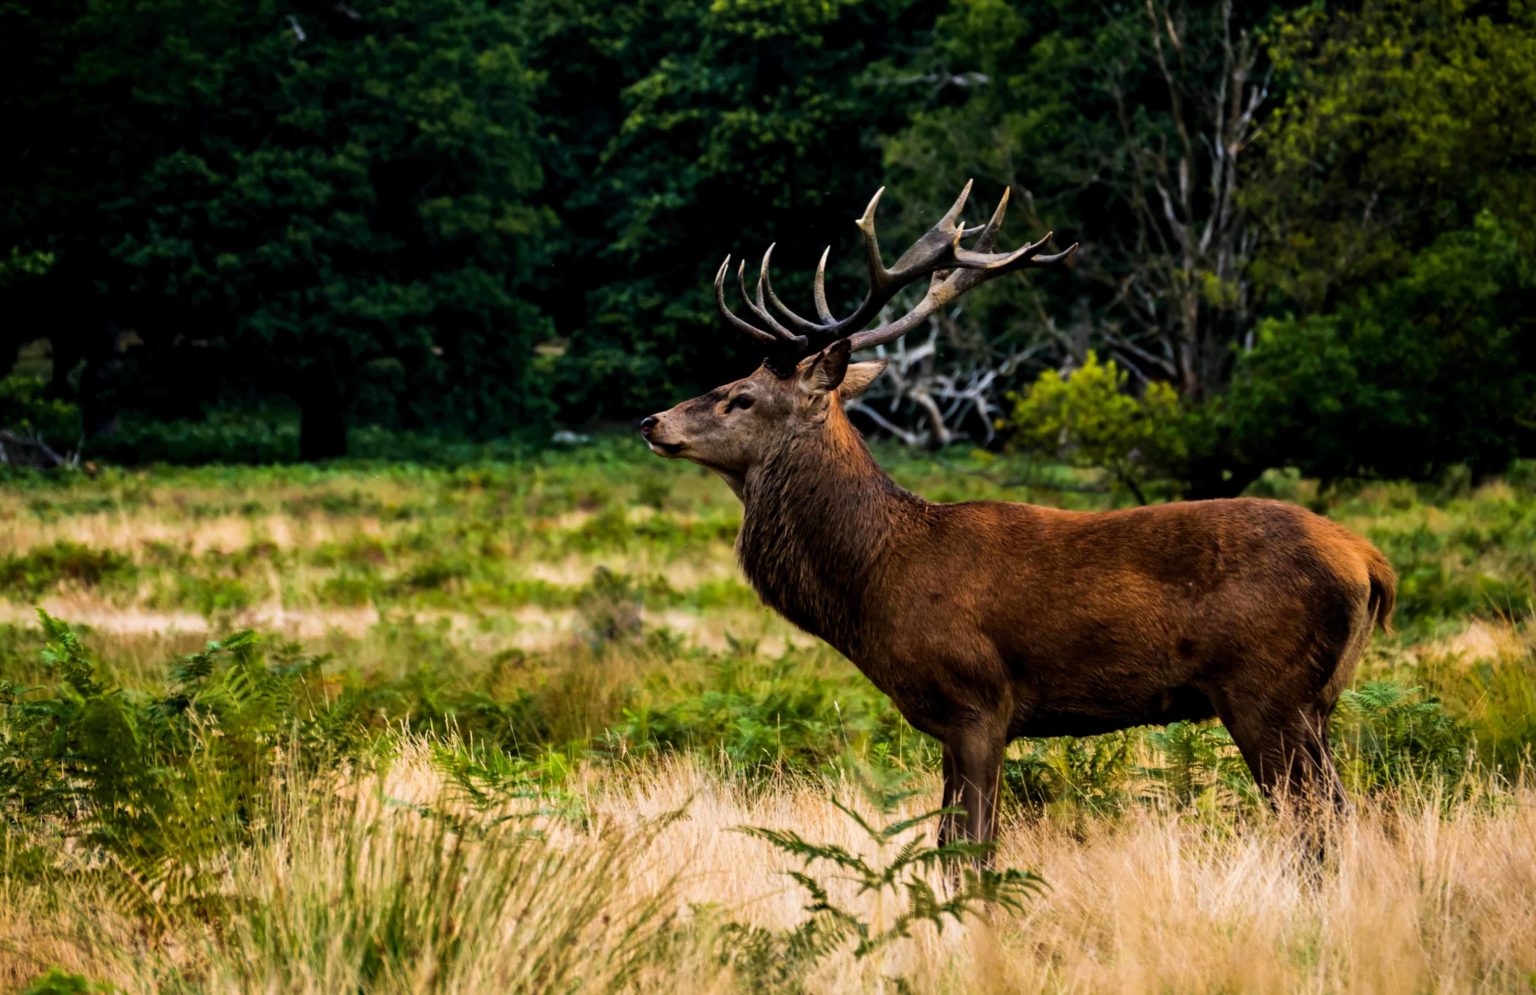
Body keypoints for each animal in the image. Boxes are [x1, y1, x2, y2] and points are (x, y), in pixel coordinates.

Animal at [635, 182, 1394, 853]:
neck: (878, 578)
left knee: (1317, 827)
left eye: (741, 395)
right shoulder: (948, 722)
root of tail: (1370, 563)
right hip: (1316, 702)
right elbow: (947, 845)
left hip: (1267, 690)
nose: (652, 420)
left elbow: (972, 848)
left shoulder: (977, 701)